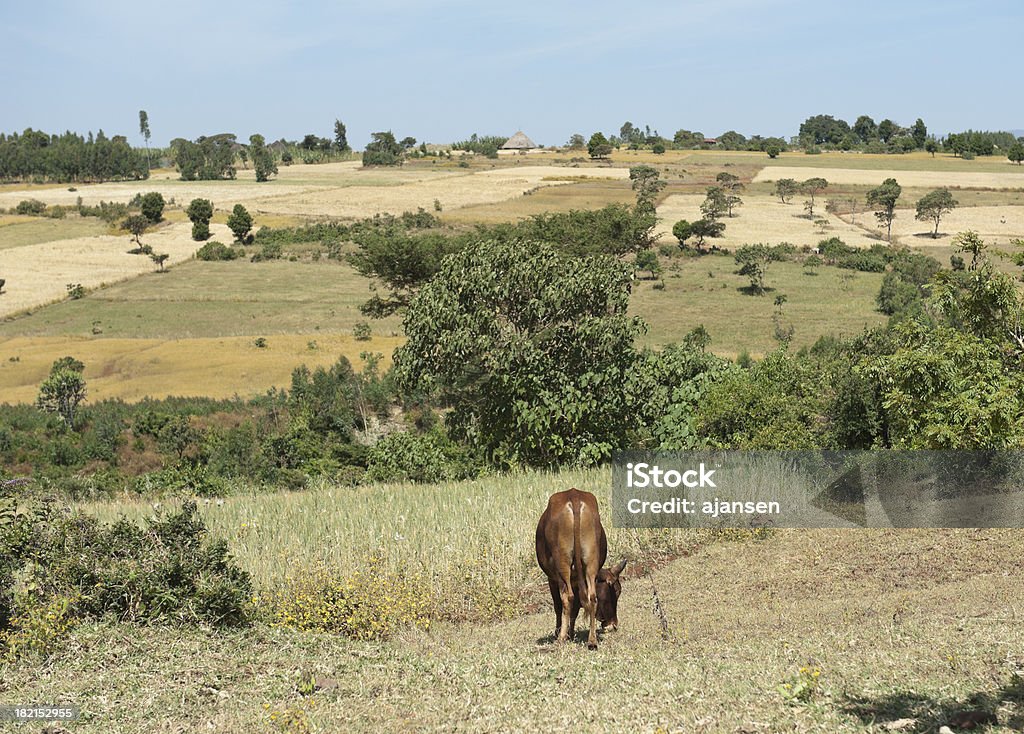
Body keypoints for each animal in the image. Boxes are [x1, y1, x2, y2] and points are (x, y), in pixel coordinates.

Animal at [536, 487, 622, 646]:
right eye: (617, 591)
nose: (613, 624)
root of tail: (574, 497)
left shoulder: (552, 579)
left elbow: (559, 606)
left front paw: (561, 633)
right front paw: (571, 633)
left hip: (563, 567)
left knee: (567, 598)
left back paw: (562, 638)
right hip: (591, 562)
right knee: (592, 597)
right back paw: (592, 640)